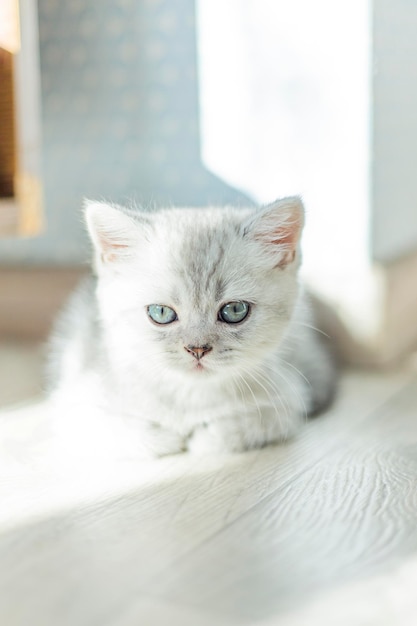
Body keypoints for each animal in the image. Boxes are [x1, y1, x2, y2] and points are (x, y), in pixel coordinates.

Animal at [47, 197, 336, 456]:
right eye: (161, 313)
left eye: (234, 310)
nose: (197, 349)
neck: (191, 395)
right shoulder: (71, 408)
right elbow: (126, 432)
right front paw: (168, 437)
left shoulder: (290, 400)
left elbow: (253, 426)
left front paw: (207, 437)